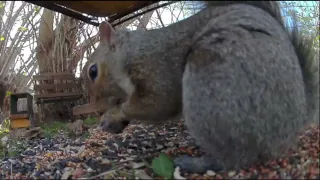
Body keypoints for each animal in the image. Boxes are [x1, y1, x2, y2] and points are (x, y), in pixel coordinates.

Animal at [86, 1, 318, 173]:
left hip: (211, 87)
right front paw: (112, 123)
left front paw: (112, 114)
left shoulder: (156, 69)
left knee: (236, 158)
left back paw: (196, 163)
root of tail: (291, 126)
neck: (130, 53)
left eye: (93, 71)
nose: (95, 109)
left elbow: (157, 103)